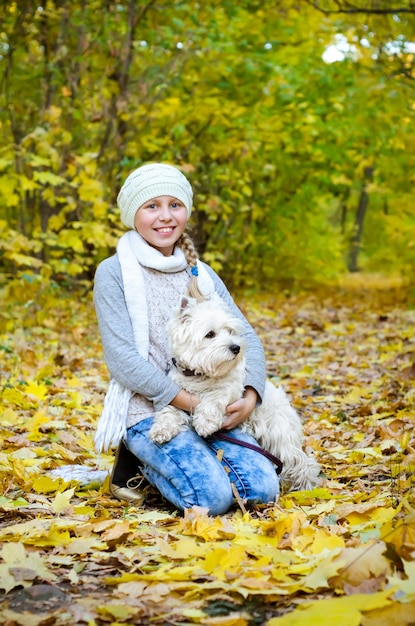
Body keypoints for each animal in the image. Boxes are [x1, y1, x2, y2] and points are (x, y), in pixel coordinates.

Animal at [150, 294, 322, 490]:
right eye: (210, 334)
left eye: (230, 331)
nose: (236, 348)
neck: (199, 375)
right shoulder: (178, 394)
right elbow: (169, 410)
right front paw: (161, 430)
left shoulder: (231, 390)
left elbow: (215, 397)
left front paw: (205, 423)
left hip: (280, 433)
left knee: (299, 460)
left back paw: (306, 487)